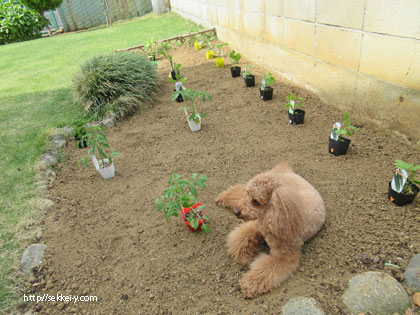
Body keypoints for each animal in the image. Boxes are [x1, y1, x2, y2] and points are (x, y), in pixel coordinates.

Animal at [215, 163, 326, 298]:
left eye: (256, 202)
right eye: (248, 194)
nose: (236, 212)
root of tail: (289, 173)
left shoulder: (284, 256)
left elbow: (265, 270)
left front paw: (249, 283)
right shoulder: (258, 225)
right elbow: (242, 239)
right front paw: (243, 253)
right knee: (238, 190)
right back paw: (222, 197)